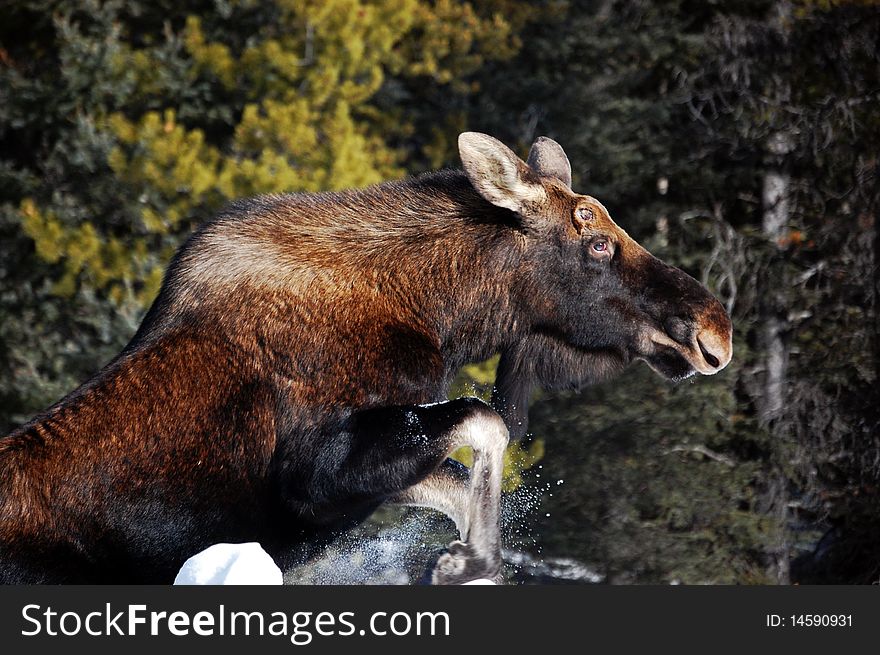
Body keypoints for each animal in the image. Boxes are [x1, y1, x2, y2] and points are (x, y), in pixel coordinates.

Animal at [0, 133, 728, 584]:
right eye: (596, 238)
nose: (714, 331)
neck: (442, 314)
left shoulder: (353, 480)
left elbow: (456, 479)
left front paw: (465, 559)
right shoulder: (312, 475)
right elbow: (485, 422)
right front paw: (464, 563)